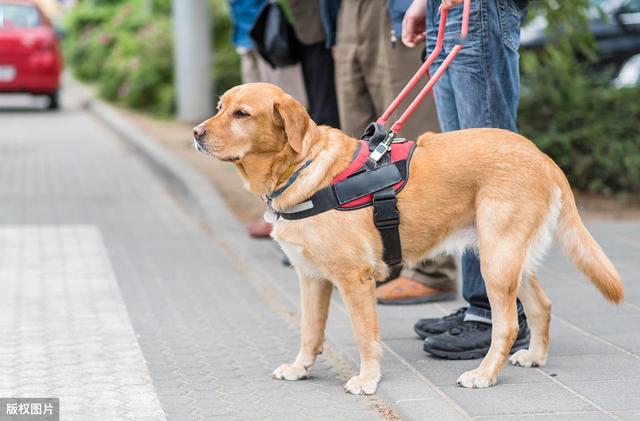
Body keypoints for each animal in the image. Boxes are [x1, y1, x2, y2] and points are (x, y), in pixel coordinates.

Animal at [192, 83, 624, 394]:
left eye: (242, 114)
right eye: (220, 106)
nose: (195, 133)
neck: (304, 166)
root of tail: (542, 156)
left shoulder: (355, 279)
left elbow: (365, 337)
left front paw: (367, 379)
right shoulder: (311, 277)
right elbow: (310, 330)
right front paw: (301, 368)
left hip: (496, 261)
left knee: (506, 326)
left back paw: (484, 374)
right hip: (509, 257)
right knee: (541, 306)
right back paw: (534, 357)